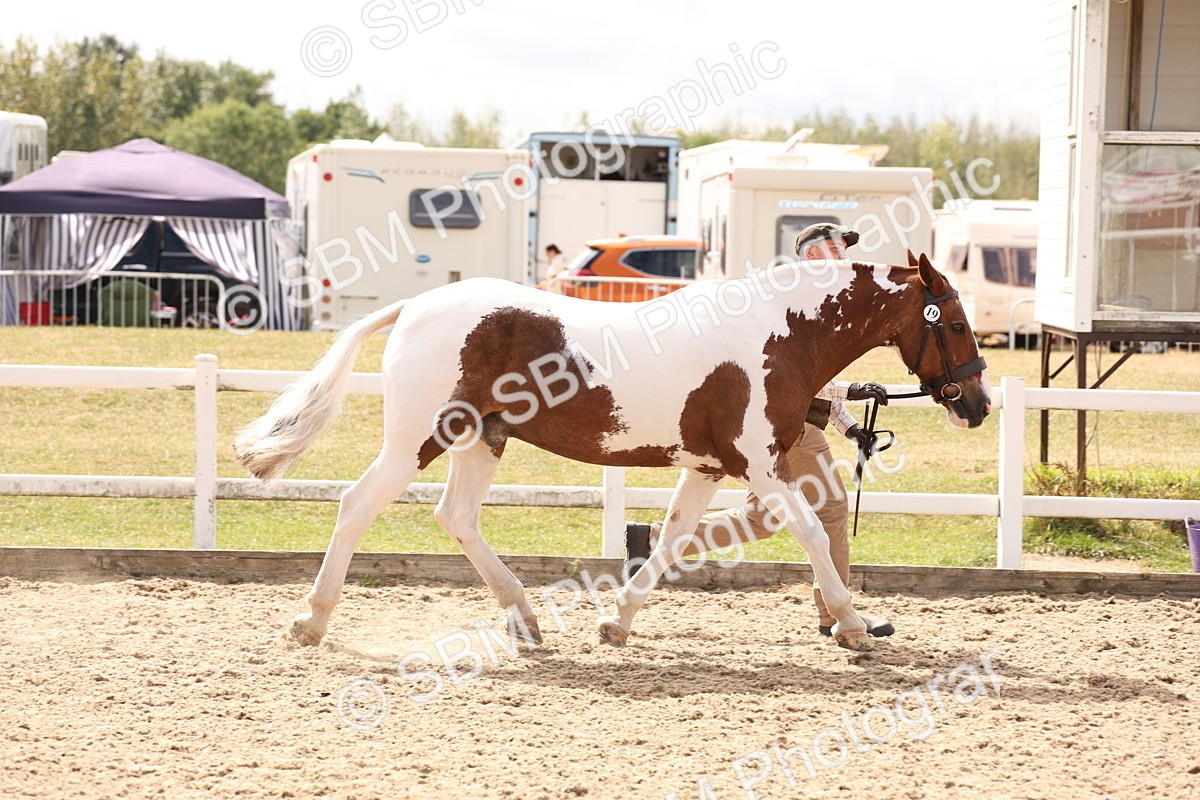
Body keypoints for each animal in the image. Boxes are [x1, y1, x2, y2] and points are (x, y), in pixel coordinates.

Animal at [234, 252, 990, 653]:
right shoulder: (758, 465)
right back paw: (310, 619)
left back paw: (525, 617)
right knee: (356, 504)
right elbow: (808, 530)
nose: (978, 405)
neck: (778, 334)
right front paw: (856, 626)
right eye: (955, 322)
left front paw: (615, 621)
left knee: (457, 517)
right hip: (416, 438)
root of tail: (416, 307)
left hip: (482, 439)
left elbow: (673, 539)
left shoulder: (708, 469)